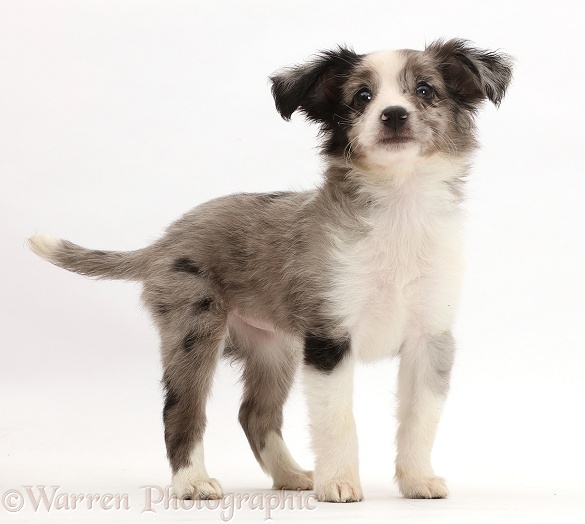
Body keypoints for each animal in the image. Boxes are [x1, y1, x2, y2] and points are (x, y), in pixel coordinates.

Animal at [27, 37, 512, 504]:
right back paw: (193, 483)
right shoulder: (329, 340)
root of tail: (165, 240)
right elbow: (338, 420)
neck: (399, 207)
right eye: (362, 97)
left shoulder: (430, 340)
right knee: (181, 409)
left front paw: (417, 480)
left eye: (426, 91)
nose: (393, 115)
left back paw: (291, 476)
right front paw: (339, 485)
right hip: (194, 330)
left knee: (255, 414)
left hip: (273, 348)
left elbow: (419, 421)